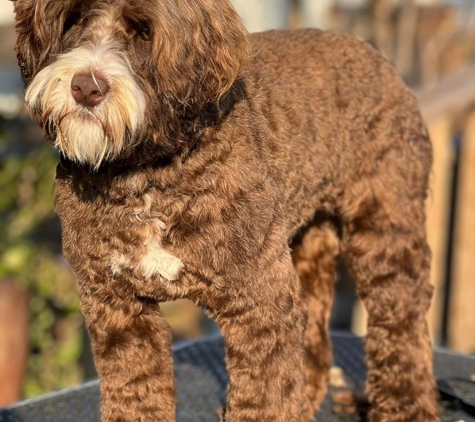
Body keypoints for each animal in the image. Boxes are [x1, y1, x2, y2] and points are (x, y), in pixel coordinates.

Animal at [12, 0, 442, 420]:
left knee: (401, 323)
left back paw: (405, 408)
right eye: (73, 19)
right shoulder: (117, 307)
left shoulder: (260, 307)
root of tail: (374, 54)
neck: (149, 174)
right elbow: (135, 393)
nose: (86, 86)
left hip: (384, 229)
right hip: (304, 244)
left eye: (144, 31)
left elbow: (264, 398)